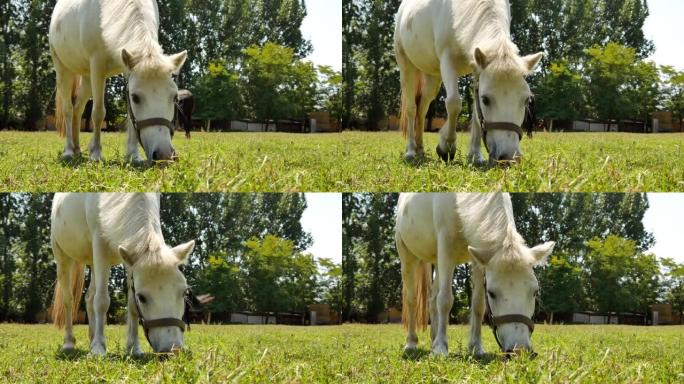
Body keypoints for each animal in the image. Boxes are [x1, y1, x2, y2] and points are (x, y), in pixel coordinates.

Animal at [48, 0, 188, 164]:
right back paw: (69, 151)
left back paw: (77, 149)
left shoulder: (128, 68)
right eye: (136, 97)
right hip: (63, 69)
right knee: (68, 109)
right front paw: (96, 154)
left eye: (175, 97)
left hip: (87, 78)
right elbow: (98, 113)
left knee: (77, 109)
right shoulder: (97, 66)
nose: (163, 156)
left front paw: (133, 155)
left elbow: (130, 115)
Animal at [50, 194, 195, 356]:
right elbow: (102, 301)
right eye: (142, 297)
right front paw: (98, 348)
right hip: (62, 256)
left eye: (184, 293)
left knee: (89, 298)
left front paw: (134, 348)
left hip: (93, 262)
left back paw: (92, 338)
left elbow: (131, 305)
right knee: (68, 300)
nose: (173, 349)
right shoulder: (100, 246)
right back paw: (69, 343)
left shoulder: (131, 258)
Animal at [392, 0, 544, 164]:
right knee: (412, 108)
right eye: (486, 100)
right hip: (406, 66)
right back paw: (411, 151)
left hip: (433, 77)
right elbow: (453, 103)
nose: (508, 158)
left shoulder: (476, 68)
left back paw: (420, 149)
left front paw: (475, 155)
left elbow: (476, 113)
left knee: (422, 108)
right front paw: (446, 147)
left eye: (526, 100)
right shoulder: (447, 60)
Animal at [396, 194, 556, 356]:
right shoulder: (446, 246)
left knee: (433, 300)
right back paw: (411, 343)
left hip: (438, 261)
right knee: (412, 300)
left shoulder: (478, 256)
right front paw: (440, 348)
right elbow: (445, 300)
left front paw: (476, 347)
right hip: (408, 256)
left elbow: (478, 304)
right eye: (491, 293)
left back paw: (433, 339)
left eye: (535, 292)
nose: (519, 350)